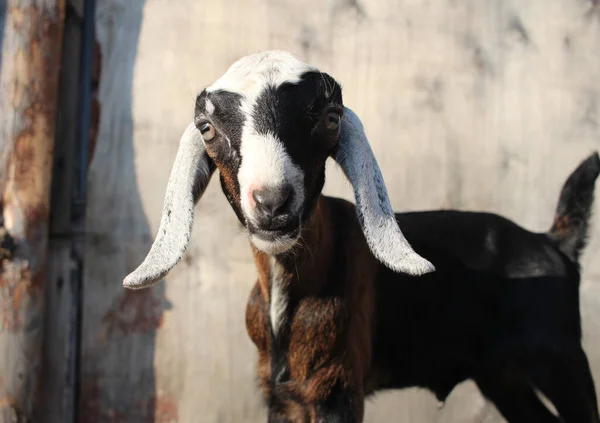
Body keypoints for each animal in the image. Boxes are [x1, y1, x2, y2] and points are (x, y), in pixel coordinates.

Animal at [123, 50, 600, 423]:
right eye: (207, 127)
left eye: (330, 118)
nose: (273, 202)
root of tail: (551, 242)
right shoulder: (282, 394)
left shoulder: (337, 385)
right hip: (503, 375)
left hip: (561, 356)